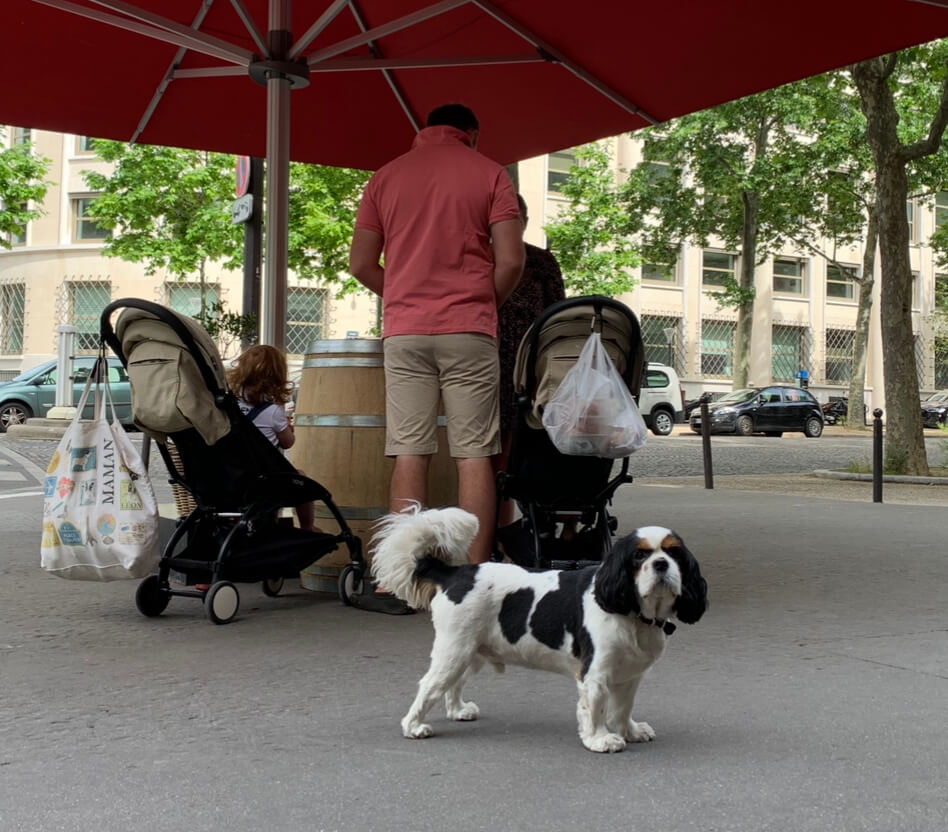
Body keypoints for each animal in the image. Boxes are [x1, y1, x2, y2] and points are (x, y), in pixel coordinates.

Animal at [370, 506, 704, 756]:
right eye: (639, 556)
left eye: (674, 554)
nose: (661, 564)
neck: (633, 612)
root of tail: (454, 573)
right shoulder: (594, 674)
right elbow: (596, 708)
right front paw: (599, 739)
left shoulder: (630, 676)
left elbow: (622, 709)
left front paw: (630, 731)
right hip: (454, 650)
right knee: (429, 686)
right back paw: (413, 727)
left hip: (470, 651)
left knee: (454, 683)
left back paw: (457, 710)